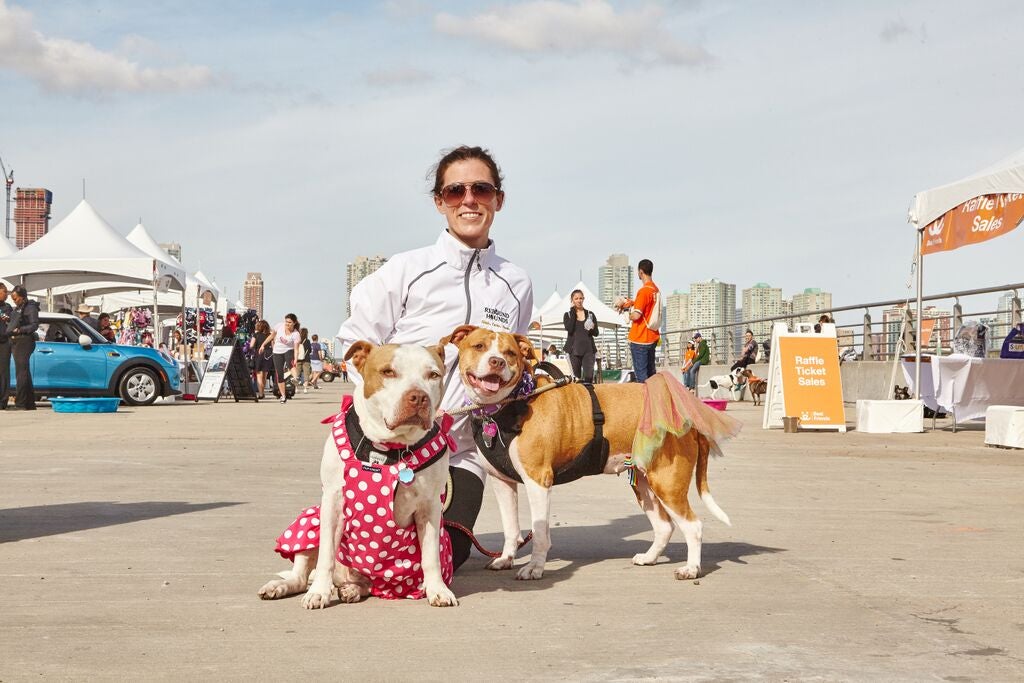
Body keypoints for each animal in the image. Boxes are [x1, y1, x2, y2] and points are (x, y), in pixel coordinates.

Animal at [258, 342, 458, 610]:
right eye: (388, 372)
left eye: (433, 375)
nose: (418, 396)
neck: (388, 448)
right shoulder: (333, 502)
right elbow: (326, 556)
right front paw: (319, 592)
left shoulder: (430, 508)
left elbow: (431, 556)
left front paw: (438, 589)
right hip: (313, 518)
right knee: (300, 577)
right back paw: (281, 587)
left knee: (365, 586)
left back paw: (351, 590)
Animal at [444, 325, 741, 581]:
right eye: (479, 346)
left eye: (510, 353)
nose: (497, 362)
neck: (510, 403)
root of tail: (685, 414)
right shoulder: (502, 483)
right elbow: (510, 528)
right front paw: (506, 559)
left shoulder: (537, 481)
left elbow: (539, 532)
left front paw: (534, 568)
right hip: (644, 483)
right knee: (664, 525)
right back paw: (649, 558)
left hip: (667, 482)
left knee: (693, 525)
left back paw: (691, 569)